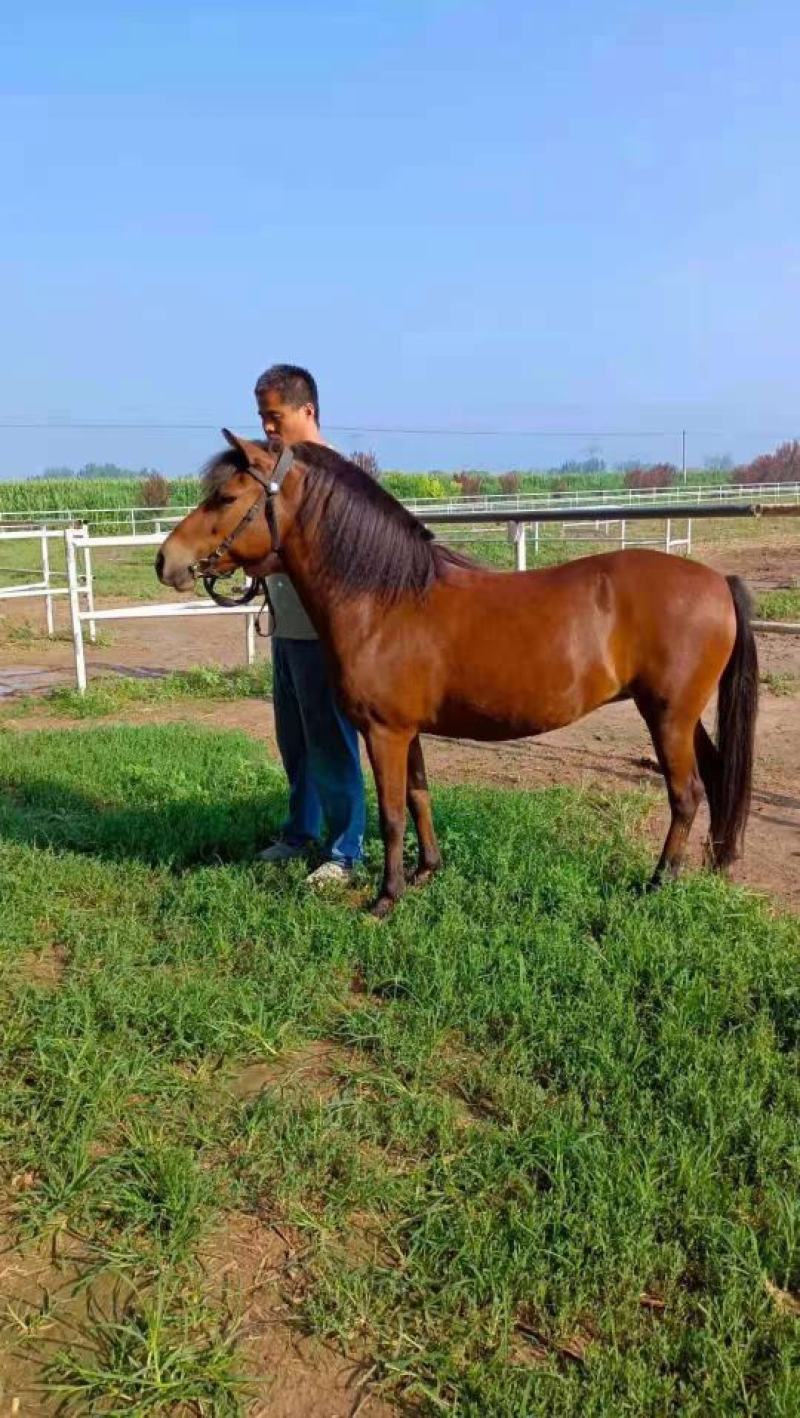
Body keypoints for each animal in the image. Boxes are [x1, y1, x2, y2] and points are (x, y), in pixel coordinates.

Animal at [156, 432, 758, 916]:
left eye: (226, 497)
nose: (166, 561)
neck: (385, 600)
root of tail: (717, 580)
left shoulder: (385, 733)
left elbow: (391, 814)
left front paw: (385, 899)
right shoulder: (408, 732)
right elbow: (419, 798)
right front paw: (426, 873)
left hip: (667, 716)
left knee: (686, 794)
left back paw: (659, 883)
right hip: (682, 716)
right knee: (715, 780)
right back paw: (714, 866)